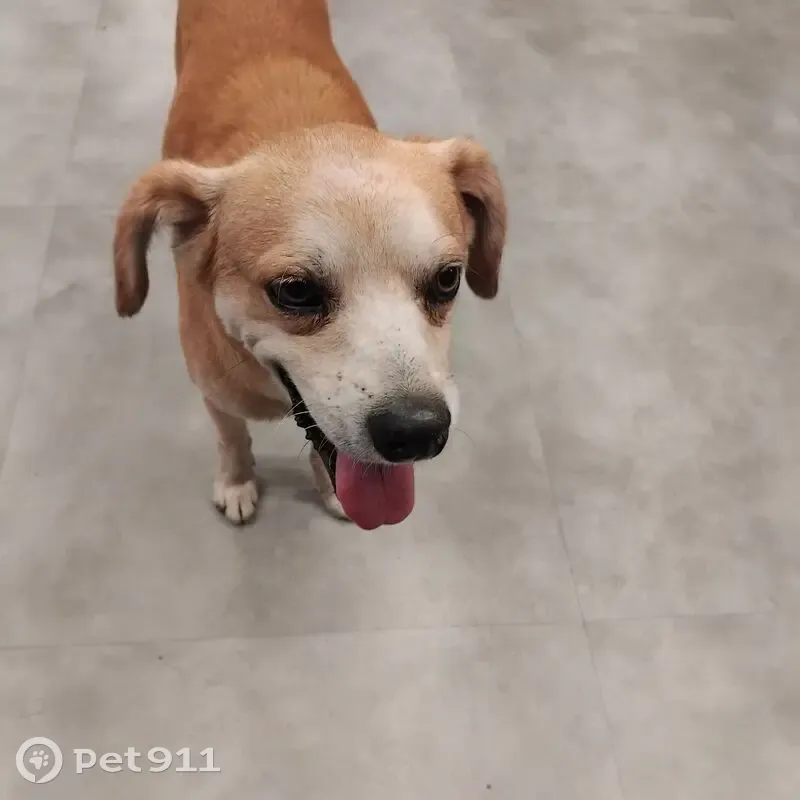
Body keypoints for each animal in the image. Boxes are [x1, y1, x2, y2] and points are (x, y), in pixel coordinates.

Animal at [113, 0, 507, 530]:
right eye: (295, 290)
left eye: (448, 278)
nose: (419, 432)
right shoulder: (216, 396)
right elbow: (232, 439)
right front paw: (236, 482)